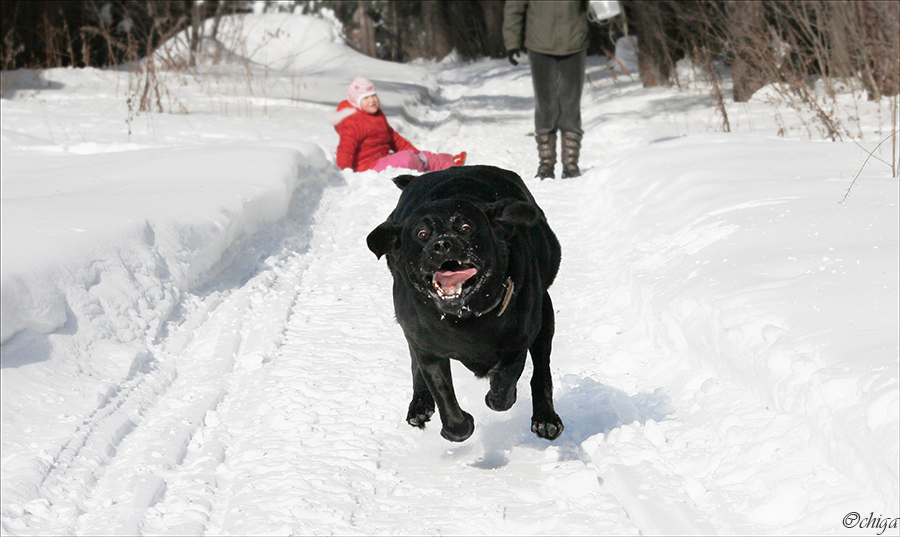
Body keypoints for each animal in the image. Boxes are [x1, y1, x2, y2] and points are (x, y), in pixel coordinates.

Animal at [366, 165, 564, 442]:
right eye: (422, 234)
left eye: (466, 227)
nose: (442, 244)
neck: (466, 317)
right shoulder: (427, 345)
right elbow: (442, 392)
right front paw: (458, 425)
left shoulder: (520, 337)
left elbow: (507, 379)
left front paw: (498, 397)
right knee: (415, 364)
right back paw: (419, 405)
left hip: (545, 317)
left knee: (542, 370)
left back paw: (546, 419)